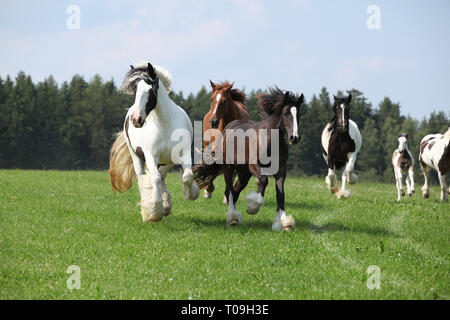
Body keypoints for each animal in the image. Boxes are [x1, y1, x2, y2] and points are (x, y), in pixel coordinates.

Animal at [109, 62, 199, 222]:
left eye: (150, 90)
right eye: (135, 90)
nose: (136, 119)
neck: (165, 124)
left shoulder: (184, 153)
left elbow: (187, 175)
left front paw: (192, 194)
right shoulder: (151, 155)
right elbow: (154, 178)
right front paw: (155, 211)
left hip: (168, 161)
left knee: (161, 175)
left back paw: (166, 205)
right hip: (137, 158)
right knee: (144, 178)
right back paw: (150, 208)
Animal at [192, 87, 302, 231]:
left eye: (299, 115)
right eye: (285, 113)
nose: (294, 137)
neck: (270, 140)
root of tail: (228, 127)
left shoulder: (281, 171)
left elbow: (280, 195)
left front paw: (284, 223)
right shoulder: (255, 167)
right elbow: (264, 182)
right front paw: (252, 207)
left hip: (244, 173)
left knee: (235, 190)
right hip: (230, 168)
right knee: (229, 191)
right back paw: (232, 219)